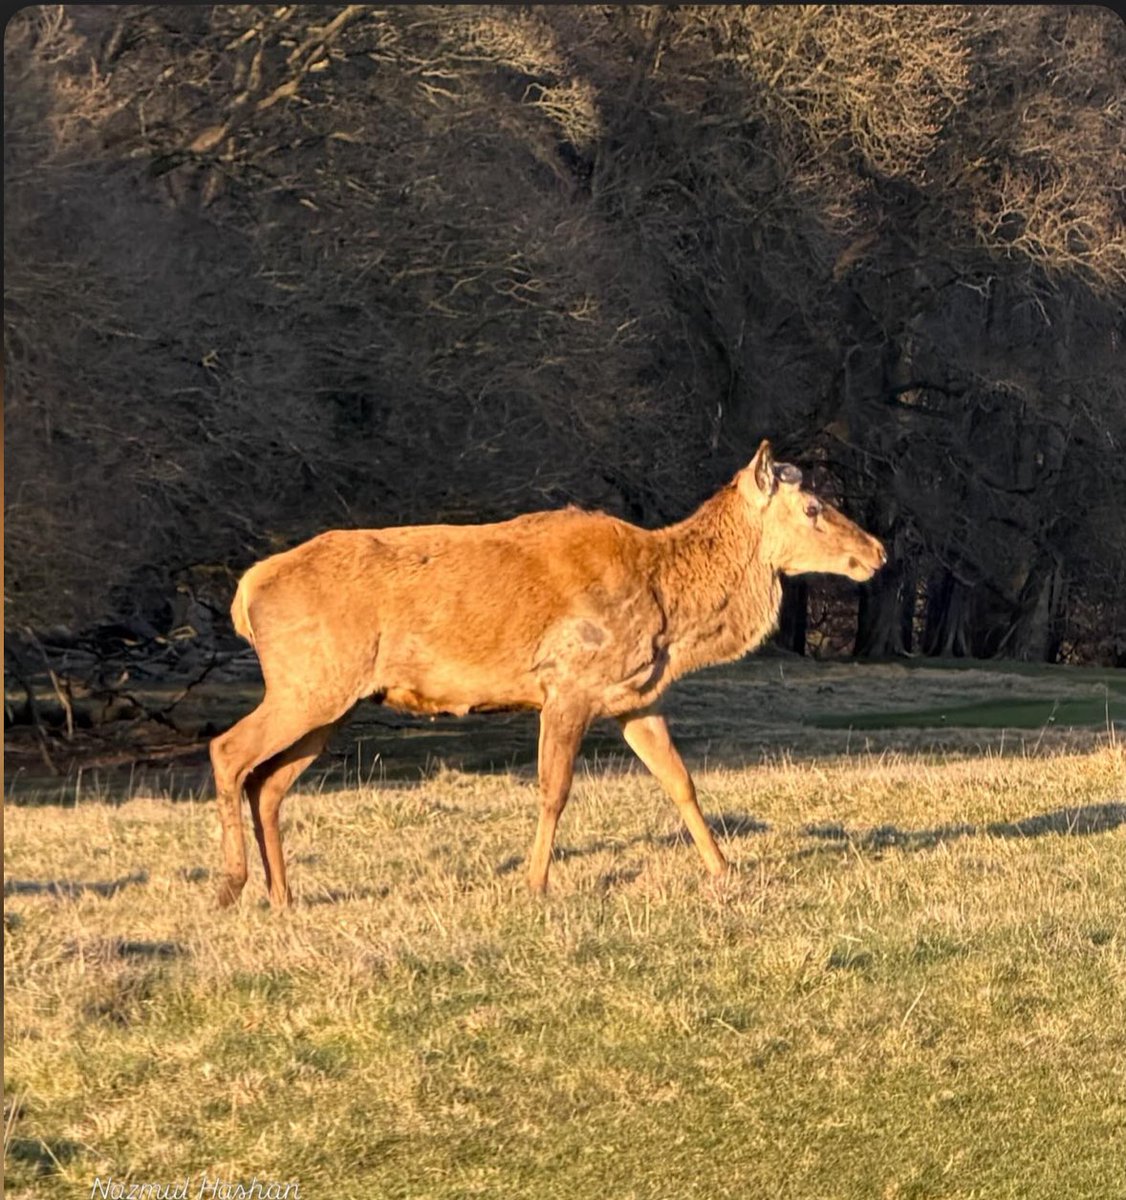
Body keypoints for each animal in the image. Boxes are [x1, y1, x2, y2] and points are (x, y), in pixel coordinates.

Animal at [209, 439, 886, 907]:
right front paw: (535, 884)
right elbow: (553, 789)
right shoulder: (568, 683)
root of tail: (246, 593)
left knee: (268, 782)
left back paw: (282, 897)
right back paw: (232, 885)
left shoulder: (633, 697)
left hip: (335, 699)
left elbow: (680, 781)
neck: (673, 615)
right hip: (309, 681)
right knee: (228, 749)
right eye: (813, 506)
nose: (877, 552)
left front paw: (724, 870)